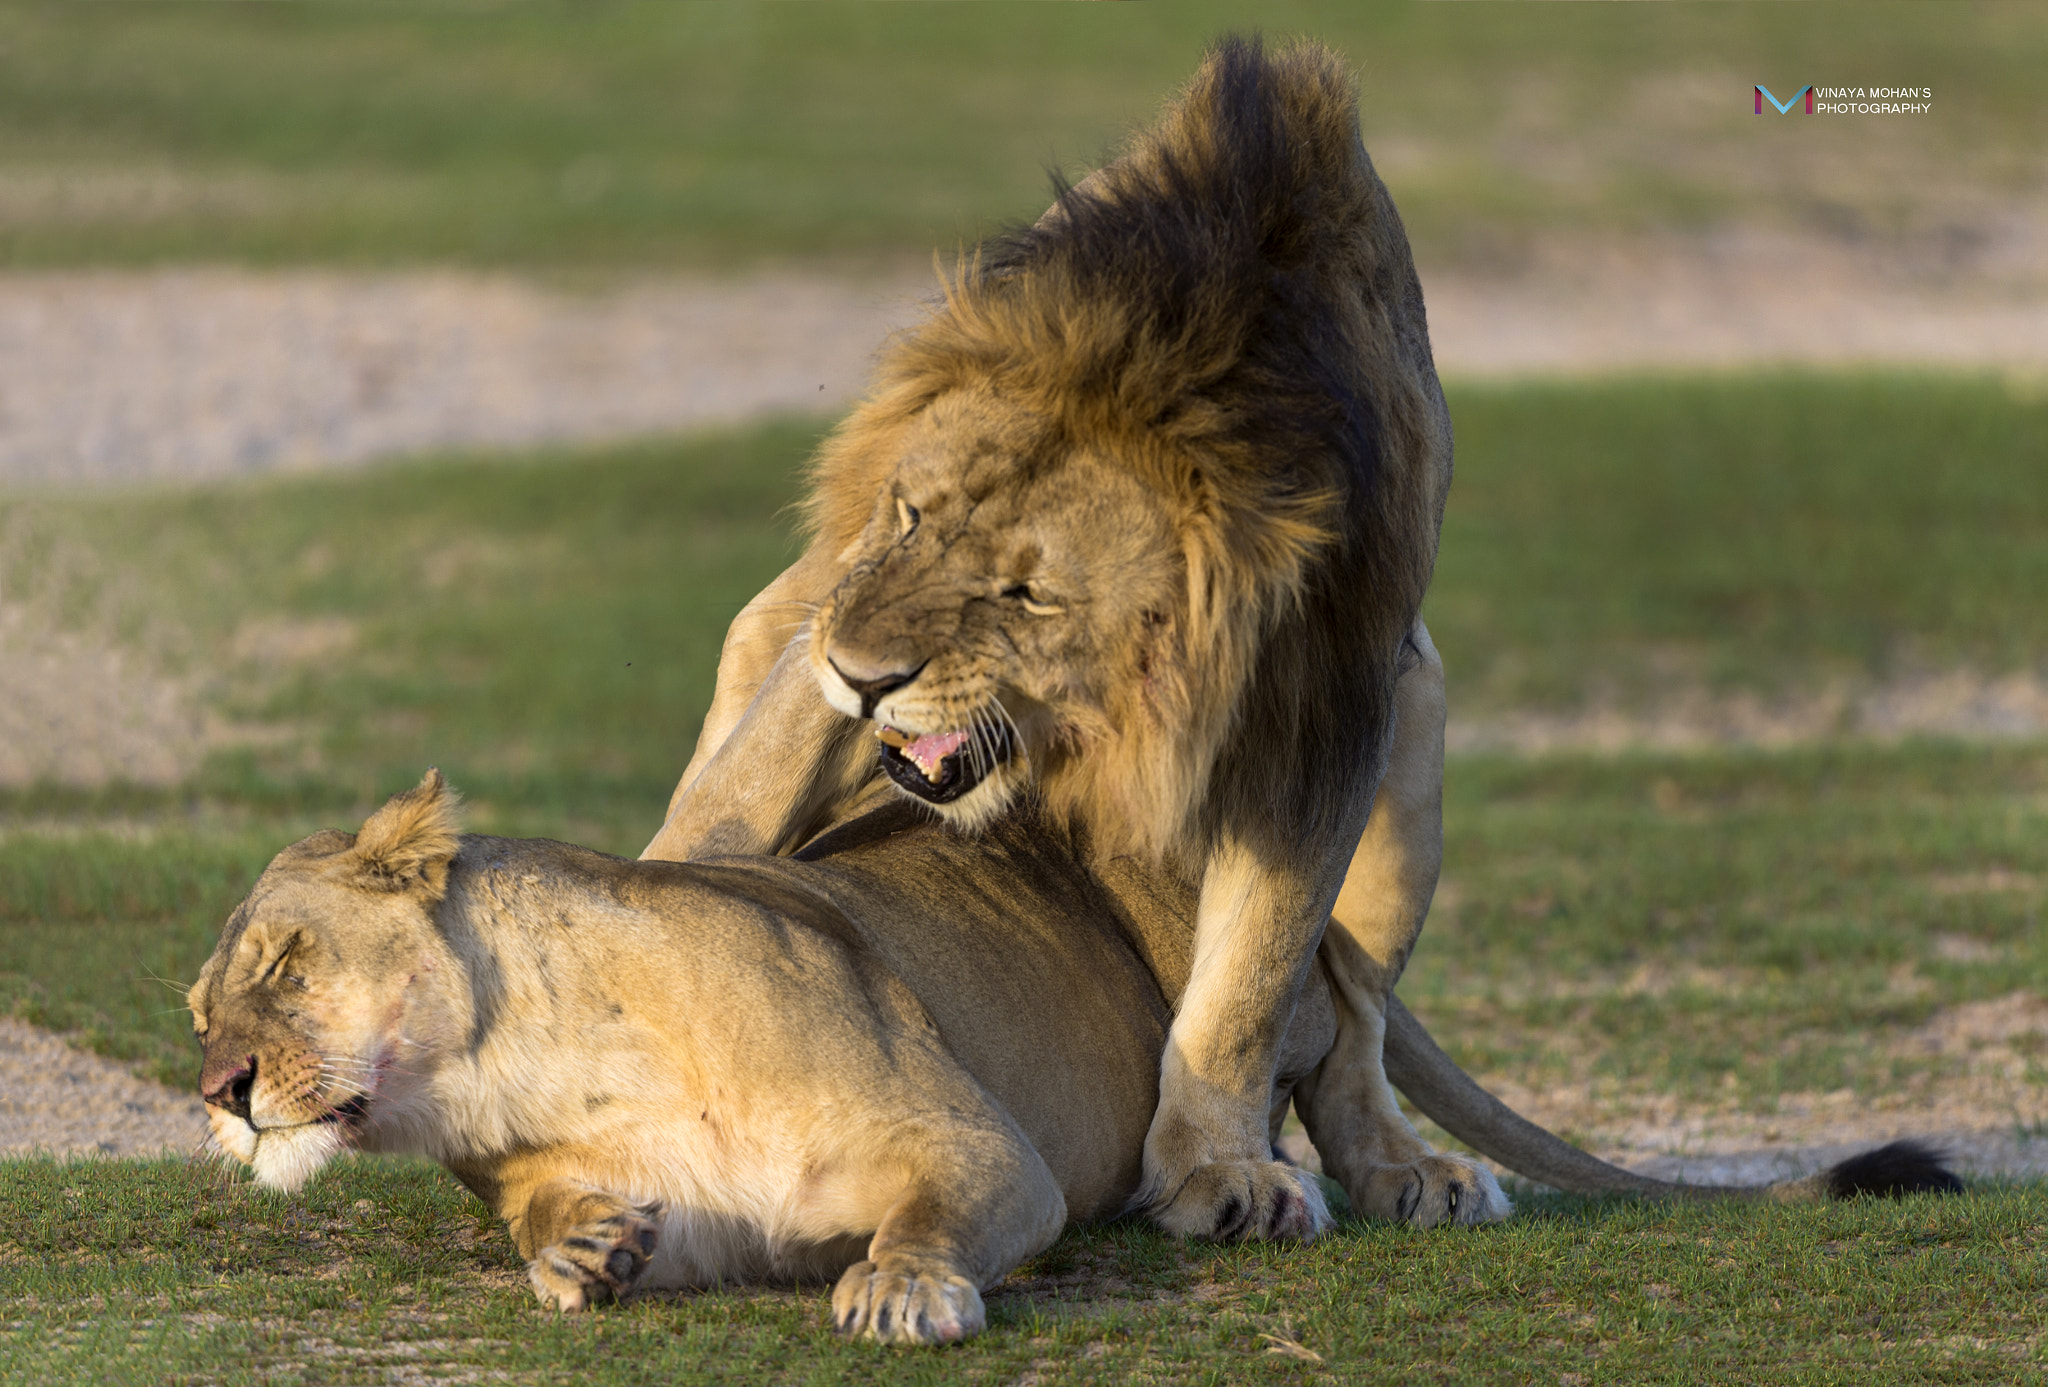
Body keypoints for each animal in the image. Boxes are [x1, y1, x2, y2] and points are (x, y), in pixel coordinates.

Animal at [195, 766, 1966, 1343]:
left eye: (280, 963)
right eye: (200, 1008)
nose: (215, 1092)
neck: (534, 1061)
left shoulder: (983, 1149)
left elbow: (932, 1214)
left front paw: (903, 1290)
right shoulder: (702, 1205)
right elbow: (583, 1221)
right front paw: (579, 1250)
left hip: (1230, 922)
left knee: (1334, 1027)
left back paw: (1389, 1182)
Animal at [638, 40, 1490, 1237]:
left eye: (1030, 594)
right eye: (909, 516)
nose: (860, 677)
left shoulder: (1338, 700)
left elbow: (1253, 977)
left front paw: (1215, 1168)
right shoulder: (841, 601)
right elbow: (745, 790)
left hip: (1419, 737)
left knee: (1353, 1026)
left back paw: (1406, 1166)